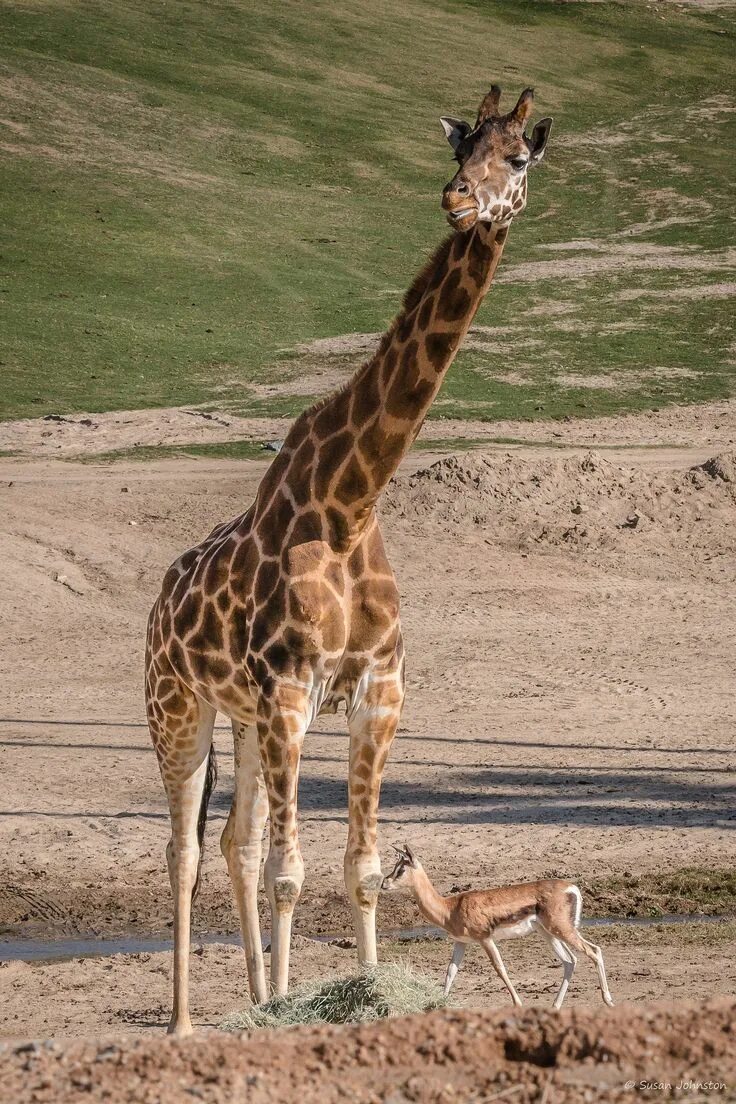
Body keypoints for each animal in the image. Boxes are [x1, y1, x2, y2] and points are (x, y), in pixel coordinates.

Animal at [146, 83, 551, 1033]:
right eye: (461, 147)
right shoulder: (292, 694)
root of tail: (156, 605)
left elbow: (356, 868)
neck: (349, 500)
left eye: (518, 157)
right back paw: (186, 1021)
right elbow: (292, 875)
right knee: (185, 848)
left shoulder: (377, 693)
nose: (459, 200)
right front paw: (296, 1010)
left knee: (235, 841)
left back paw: (256, 999)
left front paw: (353, 998)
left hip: (242, 719)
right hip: (177, 708)